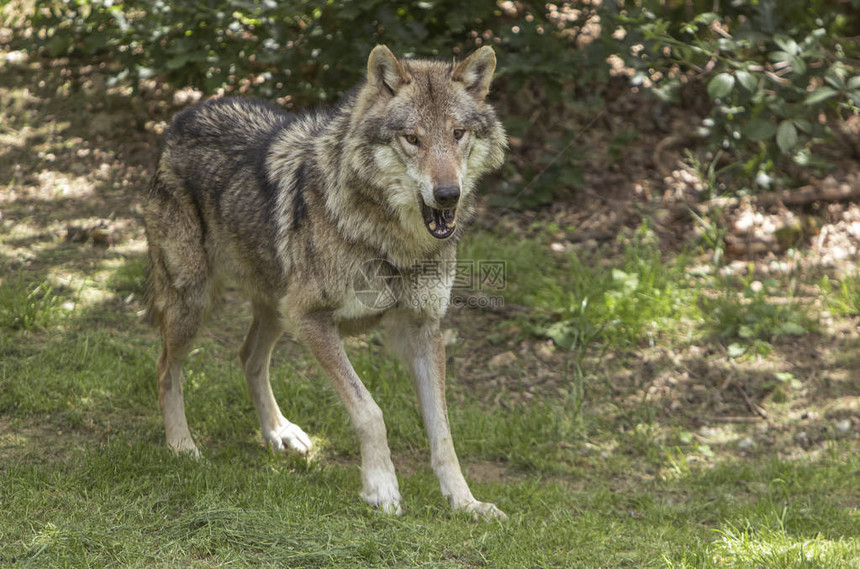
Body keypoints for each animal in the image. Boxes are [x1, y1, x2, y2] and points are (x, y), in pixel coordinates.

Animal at [144, 43, 508, 516]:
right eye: (412, 139)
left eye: (458, 133)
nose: (448, 195)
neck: (392, 243)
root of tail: (181, 117)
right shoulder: (313, 319)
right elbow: (370, 412)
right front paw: (382, 489)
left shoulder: (422, 329)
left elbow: (443, 433)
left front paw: (466, 503)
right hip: (197, 302)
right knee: (166, 368)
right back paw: (182, 446)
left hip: (276, 310)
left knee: (248, 357)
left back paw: (278, 432)